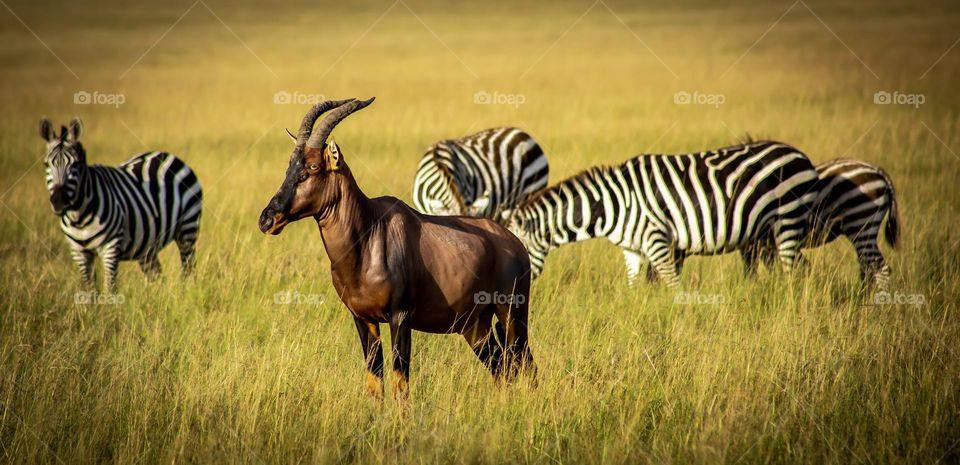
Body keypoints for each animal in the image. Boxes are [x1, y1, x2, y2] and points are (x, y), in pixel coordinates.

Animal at [41, 117, 202, 290]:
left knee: (188, 269)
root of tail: (167, 155)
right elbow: (89, 289)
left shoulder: (110, 247)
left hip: (187, 228)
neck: (79, 216)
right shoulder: (78, 252)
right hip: (147, 245)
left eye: (75, 164)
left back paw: (187, 291)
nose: (59, 201)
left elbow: (109, 288)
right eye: (46, 164)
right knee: (156, 274)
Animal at [502, 140, 820, 288]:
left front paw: (680, 319)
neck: (612, 203)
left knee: (794, 271)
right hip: (769, 232)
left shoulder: (657, 240)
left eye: (517, 251)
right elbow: (633, 286)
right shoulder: (632, 249)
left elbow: (672, 285)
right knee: (800, 268)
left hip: (788, 219)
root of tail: (801, 156)